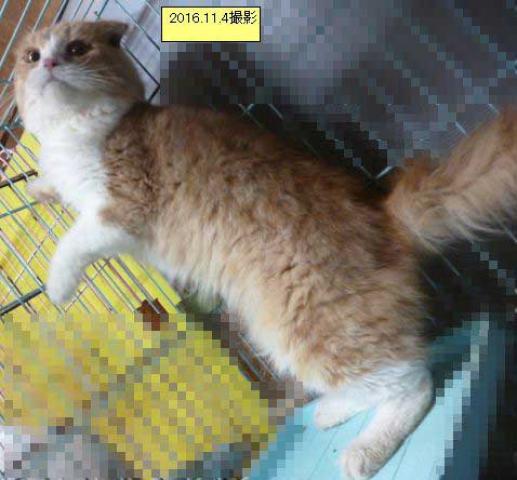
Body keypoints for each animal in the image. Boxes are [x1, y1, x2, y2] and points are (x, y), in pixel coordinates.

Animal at [13, 20, 517, 480]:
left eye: (77, 49)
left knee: (413, 380)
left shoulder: (123, 208)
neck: (78, 131)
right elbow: (54, 188)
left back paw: (363, 451)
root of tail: (380, 210)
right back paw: (332, 411)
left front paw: (57, 287)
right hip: (281, 333)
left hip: (308, 327)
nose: (51, 64)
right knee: (374, 380)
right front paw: (38, 187)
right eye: (33, 56)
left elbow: (72, 242)